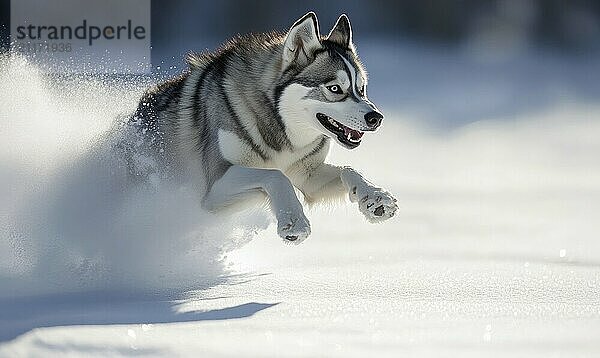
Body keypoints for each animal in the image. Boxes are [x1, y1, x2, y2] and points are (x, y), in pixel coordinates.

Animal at [131, 12, 398, 245]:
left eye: (361, 89)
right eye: (335, 89)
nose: (376, 118)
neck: (281, 130)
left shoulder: (308, 177)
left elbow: (348, 170)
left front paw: (374, 197)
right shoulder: (214, 189)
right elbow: (276, 176)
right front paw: (293, 221)